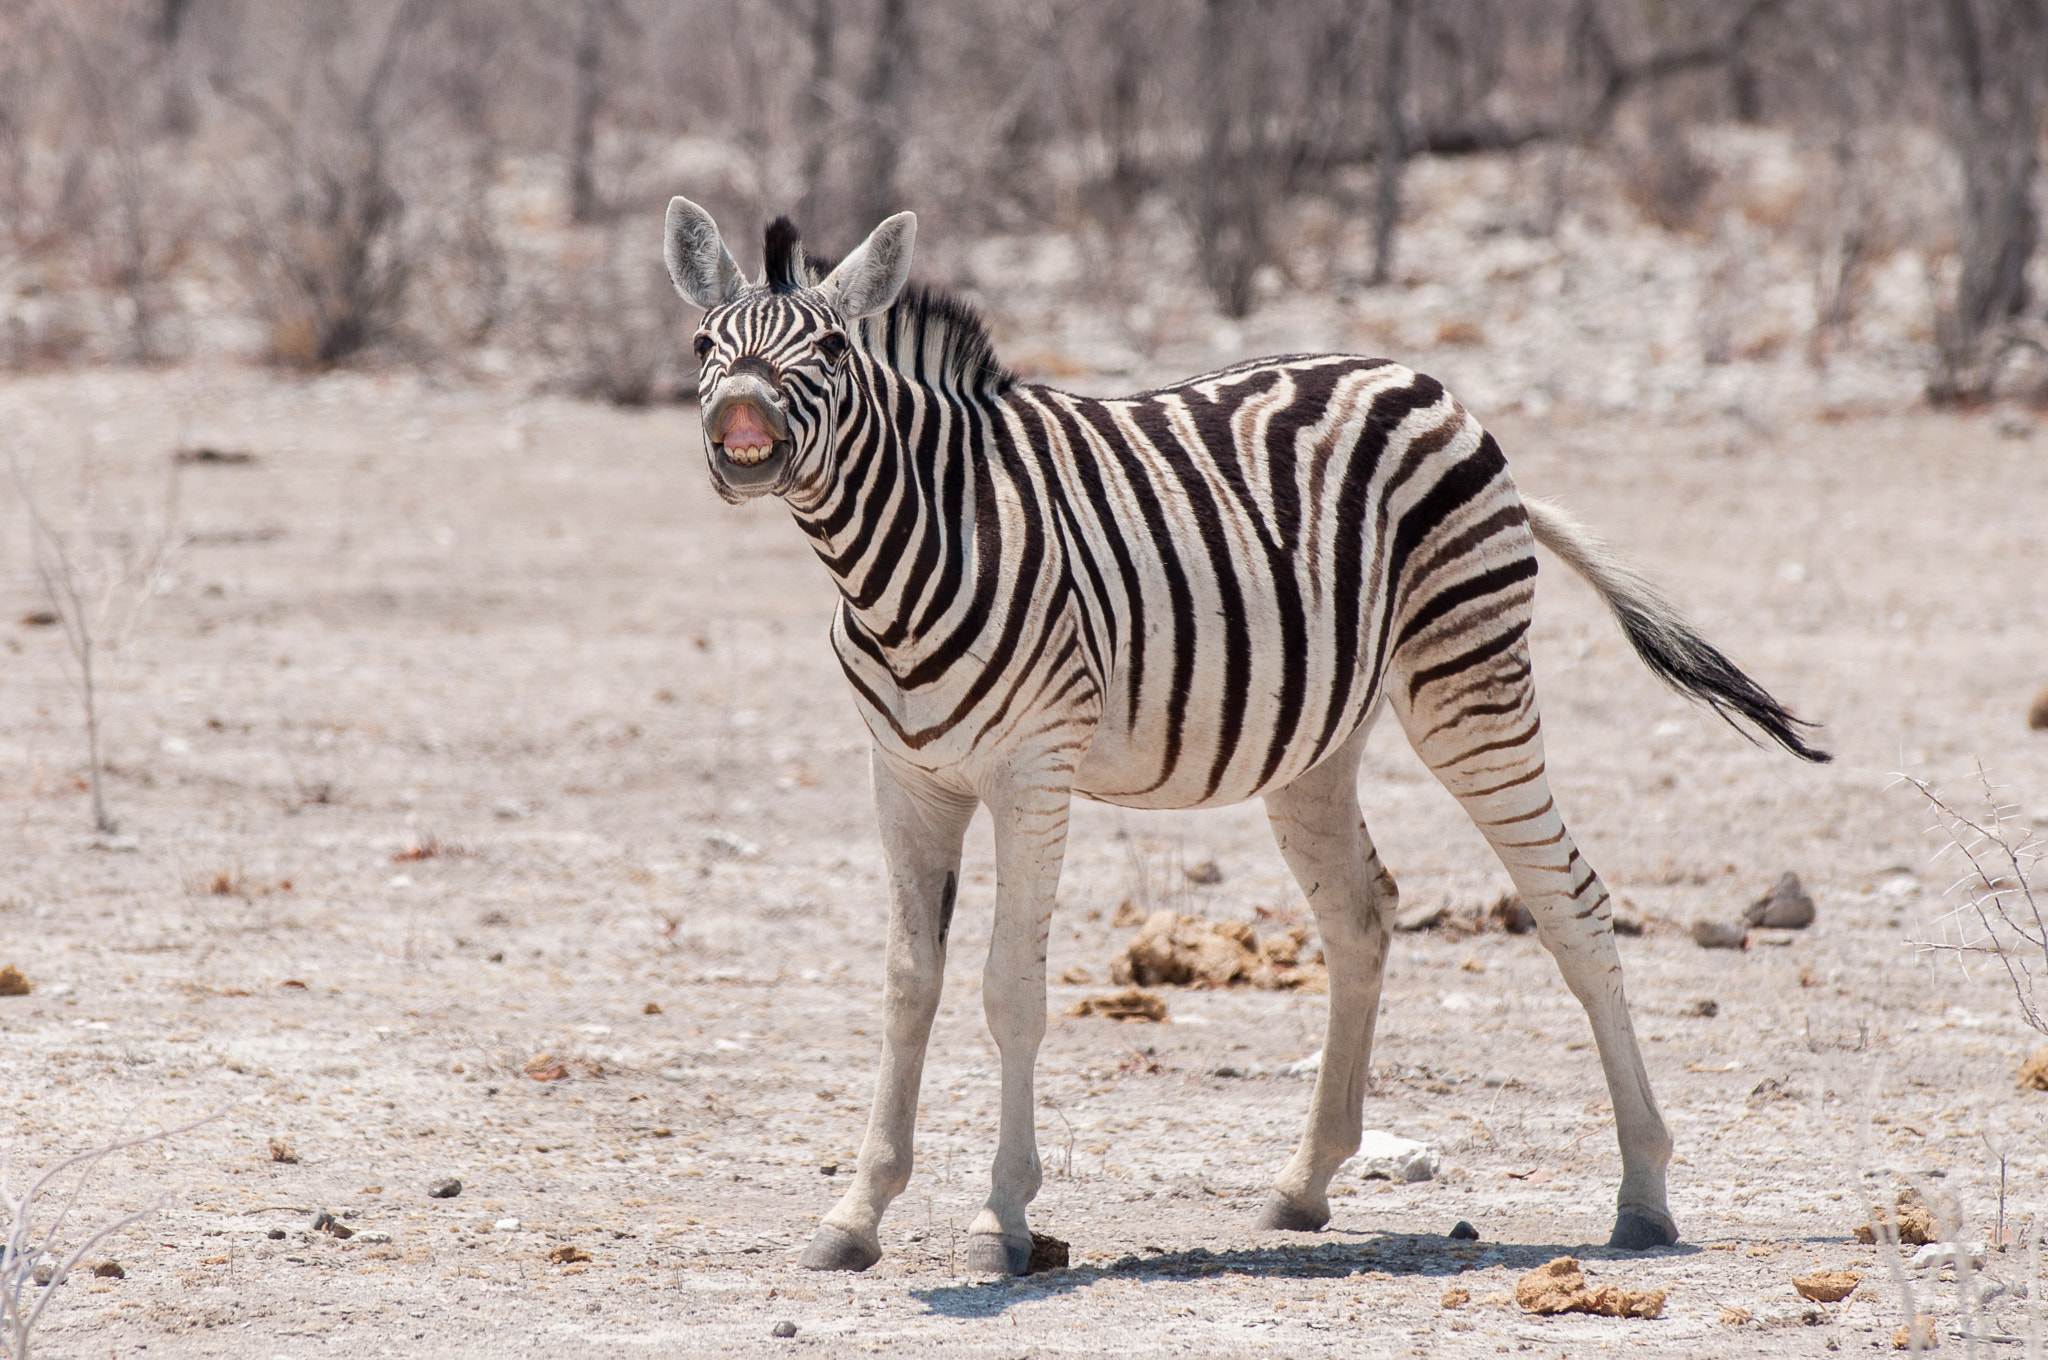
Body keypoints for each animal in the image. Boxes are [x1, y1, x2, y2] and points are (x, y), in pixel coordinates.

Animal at [662, 197, 1828, 1277]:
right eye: (704, 343)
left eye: (829, 352)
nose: (741, 428)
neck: (910, 551)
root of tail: (1426, 383)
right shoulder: (904, 775)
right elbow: (908, 985)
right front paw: (854, 1215)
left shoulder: (1033, 769)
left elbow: (1008, 990)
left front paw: (1001, 1221)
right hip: (1315, 742)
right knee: (1361, 915)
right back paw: (1304, 1185)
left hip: (1470, 688)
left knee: (1571, 905)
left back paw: (1643, 1197)